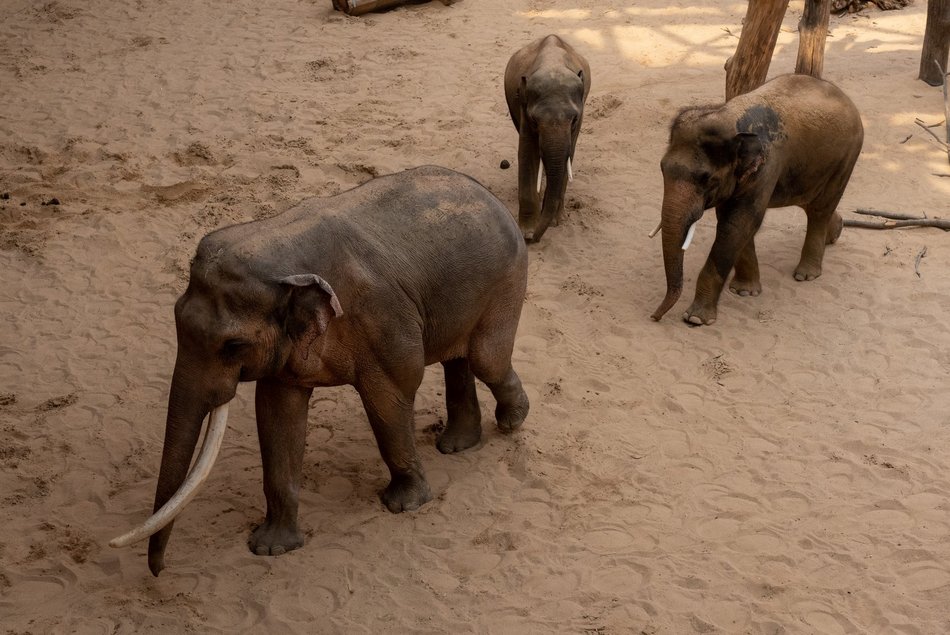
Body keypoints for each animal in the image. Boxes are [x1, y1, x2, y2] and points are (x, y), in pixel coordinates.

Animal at [109, 165, 536, 576]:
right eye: (175, 319)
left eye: (233, 347)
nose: (160, 571)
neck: (283, 258)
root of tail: (490, 196)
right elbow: (277, 415)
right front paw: (272, 548)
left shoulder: (382, 318)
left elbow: (391, 395)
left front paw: (404, 505)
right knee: (458, 360)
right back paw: (458, 445)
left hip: (506, 281)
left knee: (485, 358)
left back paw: (512, 421)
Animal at [506, 34, 588, 243]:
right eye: (535, 120)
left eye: (574, 119)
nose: (532, 239)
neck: (553, 65)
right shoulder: (524, 105)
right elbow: (527, 152)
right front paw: (527, 231)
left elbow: (569, 153)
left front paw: (555, 222)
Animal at [652, 72, 868, 326]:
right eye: (662, 168)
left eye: (706, 179)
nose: (655, 317)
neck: (729, 116)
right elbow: (735, 222)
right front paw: (744, 292)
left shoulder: (766, 166)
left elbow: (739, 223)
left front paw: (696, 318)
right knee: (811, 203)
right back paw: (835, 233)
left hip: (847, 155)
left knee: (820, 208)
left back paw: (806, 274)